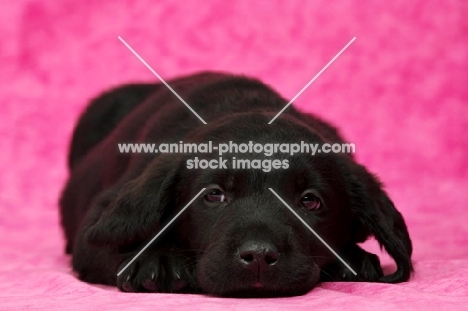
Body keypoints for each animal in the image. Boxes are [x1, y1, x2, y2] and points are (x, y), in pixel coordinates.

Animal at [59, 71, 414, 298]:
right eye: (214, 195)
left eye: (310, 201)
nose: (258, 256)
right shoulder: (95, 224)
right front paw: (158, 258)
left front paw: (352, 258)